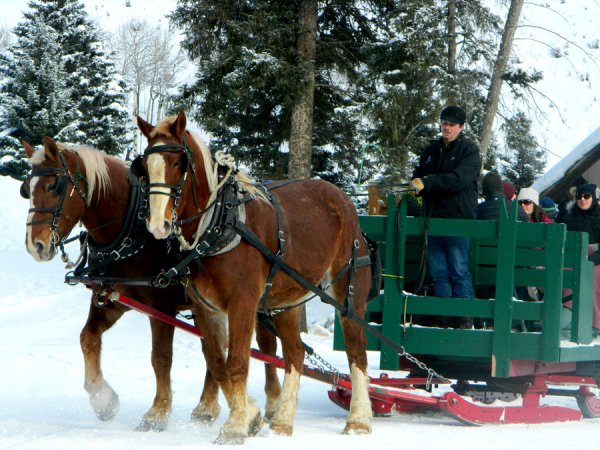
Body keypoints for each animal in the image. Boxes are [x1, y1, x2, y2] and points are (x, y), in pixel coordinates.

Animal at [136, 111, 372, 442]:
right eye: (145, 165)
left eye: (178, 162)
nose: (158, 224)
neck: (219, 224)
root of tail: (344, 201)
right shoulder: (204, 307)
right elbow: (217, 362)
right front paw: (250, 416)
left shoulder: (243, 303)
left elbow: (236, 362)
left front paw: (235, 426)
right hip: (288, 301)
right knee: (295, 353)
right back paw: (283, 421)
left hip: (348, 294)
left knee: (356, 352)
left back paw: (359, 420)